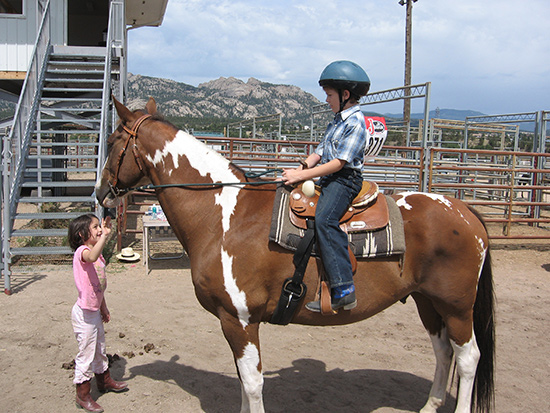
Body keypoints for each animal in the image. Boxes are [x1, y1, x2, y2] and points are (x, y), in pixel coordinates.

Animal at [95, 97, 496, 412]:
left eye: (114, 141)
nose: (100, 192)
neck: (224, 216)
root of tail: (465, 212)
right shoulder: (235, 321)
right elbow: (243, 382)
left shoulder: (239, 319)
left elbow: (252, 383)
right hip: (427, 302)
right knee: (444, 352)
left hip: (456, 306)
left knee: (468, 358)